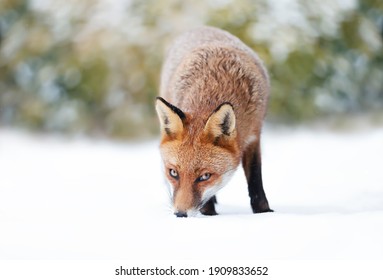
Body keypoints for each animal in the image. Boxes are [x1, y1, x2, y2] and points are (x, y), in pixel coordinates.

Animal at [156, 26, 272, 218]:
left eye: (205, 176)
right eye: (173, 173)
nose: (180, 214)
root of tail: (197, 28)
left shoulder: (254, 136)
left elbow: (255, 179)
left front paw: (264, 212)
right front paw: (209, 214)